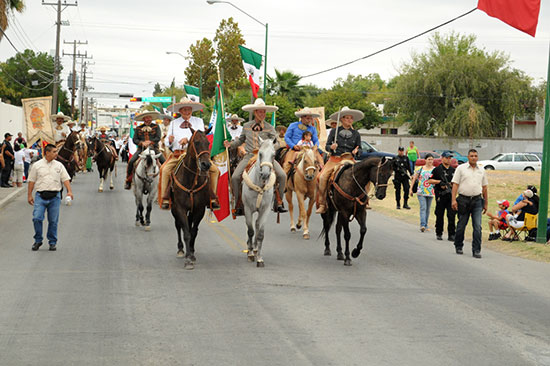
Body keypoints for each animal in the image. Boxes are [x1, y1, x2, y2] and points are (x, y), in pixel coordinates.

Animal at [169, 130, 212, 270]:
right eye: (196, 142)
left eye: (208, 143)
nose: (206, 164)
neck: (191, 180)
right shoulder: (180, 208)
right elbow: (186, 232)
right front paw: (187, 259)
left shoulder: (199, 209)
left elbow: (193, 231)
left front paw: (192, 254)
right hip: (174, 209)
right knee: (178, 226)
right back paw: (181, 249)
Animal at [242, 137, 276, 266]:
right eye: (260, 154)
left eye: (273, 155)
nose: (265, 174)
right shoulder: (247, 209)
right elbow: (250, 231)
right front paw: (251, 254)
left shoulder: (265, 210)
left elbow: (260, 234)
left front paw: (260, 258)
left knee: (257, 224)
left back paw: (256, 249)